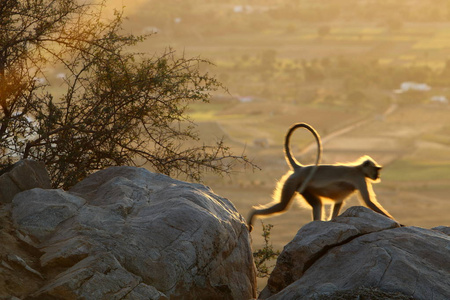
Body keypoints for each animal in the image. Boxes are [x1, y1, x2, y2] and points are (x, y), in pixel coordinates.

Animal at [246, 122, 394, 232]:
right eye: (376, 170)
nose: (378, 175)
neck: (358, 168)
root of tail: (300, 168)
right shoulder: (359, 178)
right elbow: (369, 202)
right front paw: (395, 222)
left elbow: (338, 202)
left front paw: (332, 220)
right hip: (293, 181)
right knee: (282, 206)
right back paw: (253, 212)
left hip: (303, 187)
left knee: (317, 204)